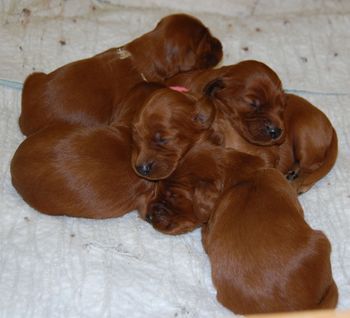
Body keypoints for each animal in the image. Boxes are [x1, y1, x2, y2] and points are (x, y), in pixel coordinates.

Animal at [168, 60, 338, 193]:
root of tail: (330, 126)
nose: (277, 132)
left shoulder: (266, 154)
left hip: (304, 134)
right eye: (253, 104)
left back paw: (298, 181)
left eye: (282, 105)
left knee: (312, 166)